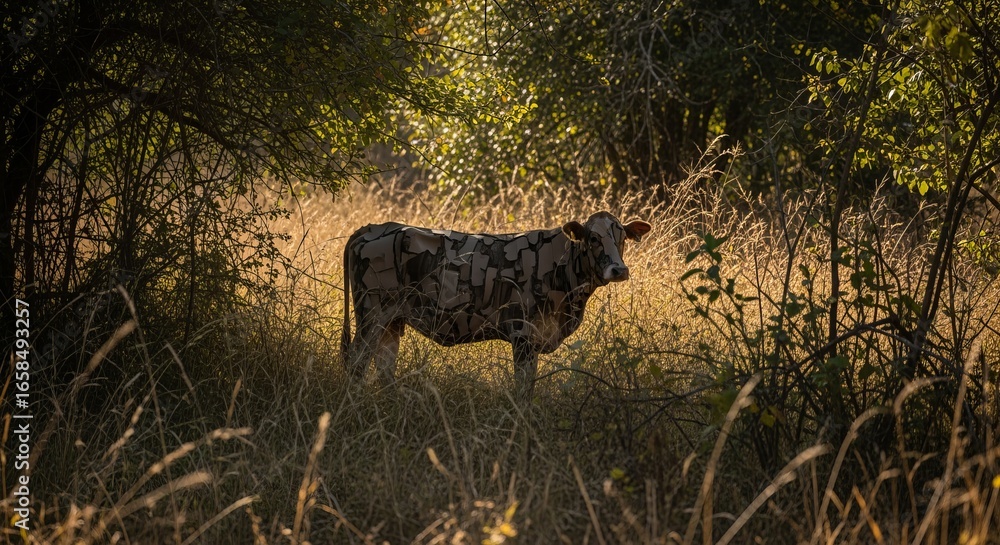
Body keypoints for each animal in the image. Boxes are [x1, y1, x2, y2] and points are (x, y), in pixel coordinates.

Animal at [341, 211, 651, 400]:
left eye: (622, 238)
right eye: (593, 238)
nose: (619, 269)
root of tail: (372, 228)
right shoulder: (523, 335)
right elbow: (524, 389)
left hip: (392, 322)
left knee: (384, 366)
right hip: (371, 315)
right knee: (356, 363)